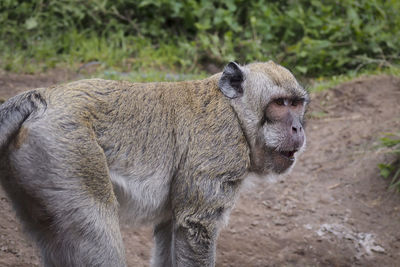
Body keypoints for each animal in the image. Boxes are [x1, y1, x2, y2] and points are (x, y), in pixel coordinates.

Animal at [0, 61, 310, 267]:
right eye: (280, 103)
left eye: (296, 104)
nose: (297, 128)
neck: (235, 113)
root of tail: (42, 97)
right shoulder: (220, 150)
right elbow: (196, 225)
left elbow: (171, 227)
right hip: (70, 150)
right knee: (95, 230)